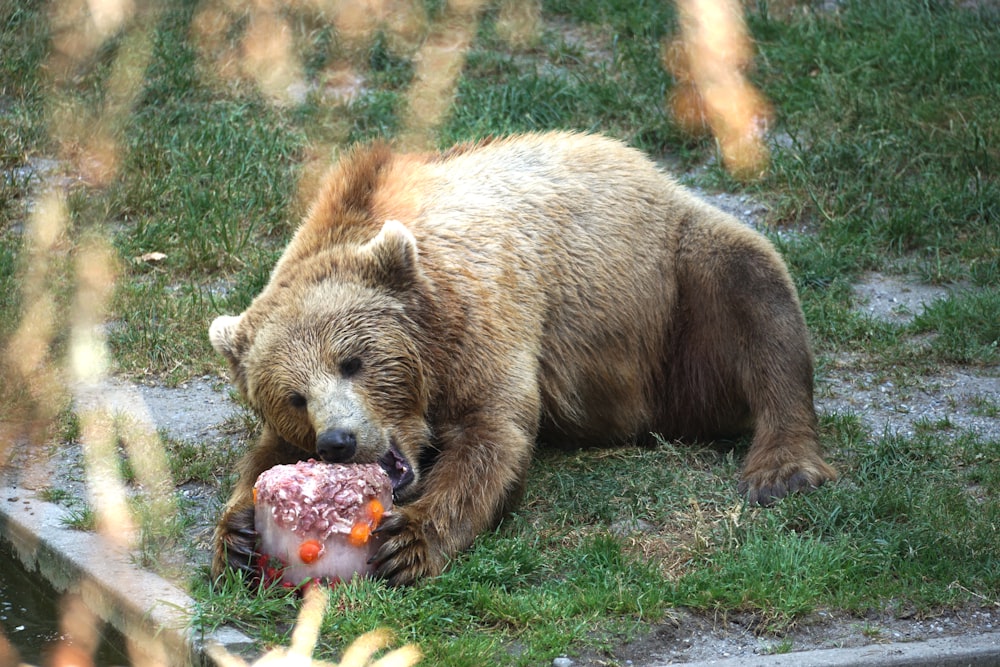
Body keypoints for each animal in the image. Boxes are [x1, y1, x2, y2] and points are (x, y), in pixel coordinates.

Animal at [209, 130, 836, 584]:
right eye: (294, 397)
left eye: (352, 361)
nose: (337, 441)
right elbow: (264, 456)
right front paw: (236, 535)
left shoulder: (485, 317)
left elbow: (493, 434)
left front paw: (407, 543)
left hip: (673, 288)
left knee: (756, 292)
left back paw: (781, 468)